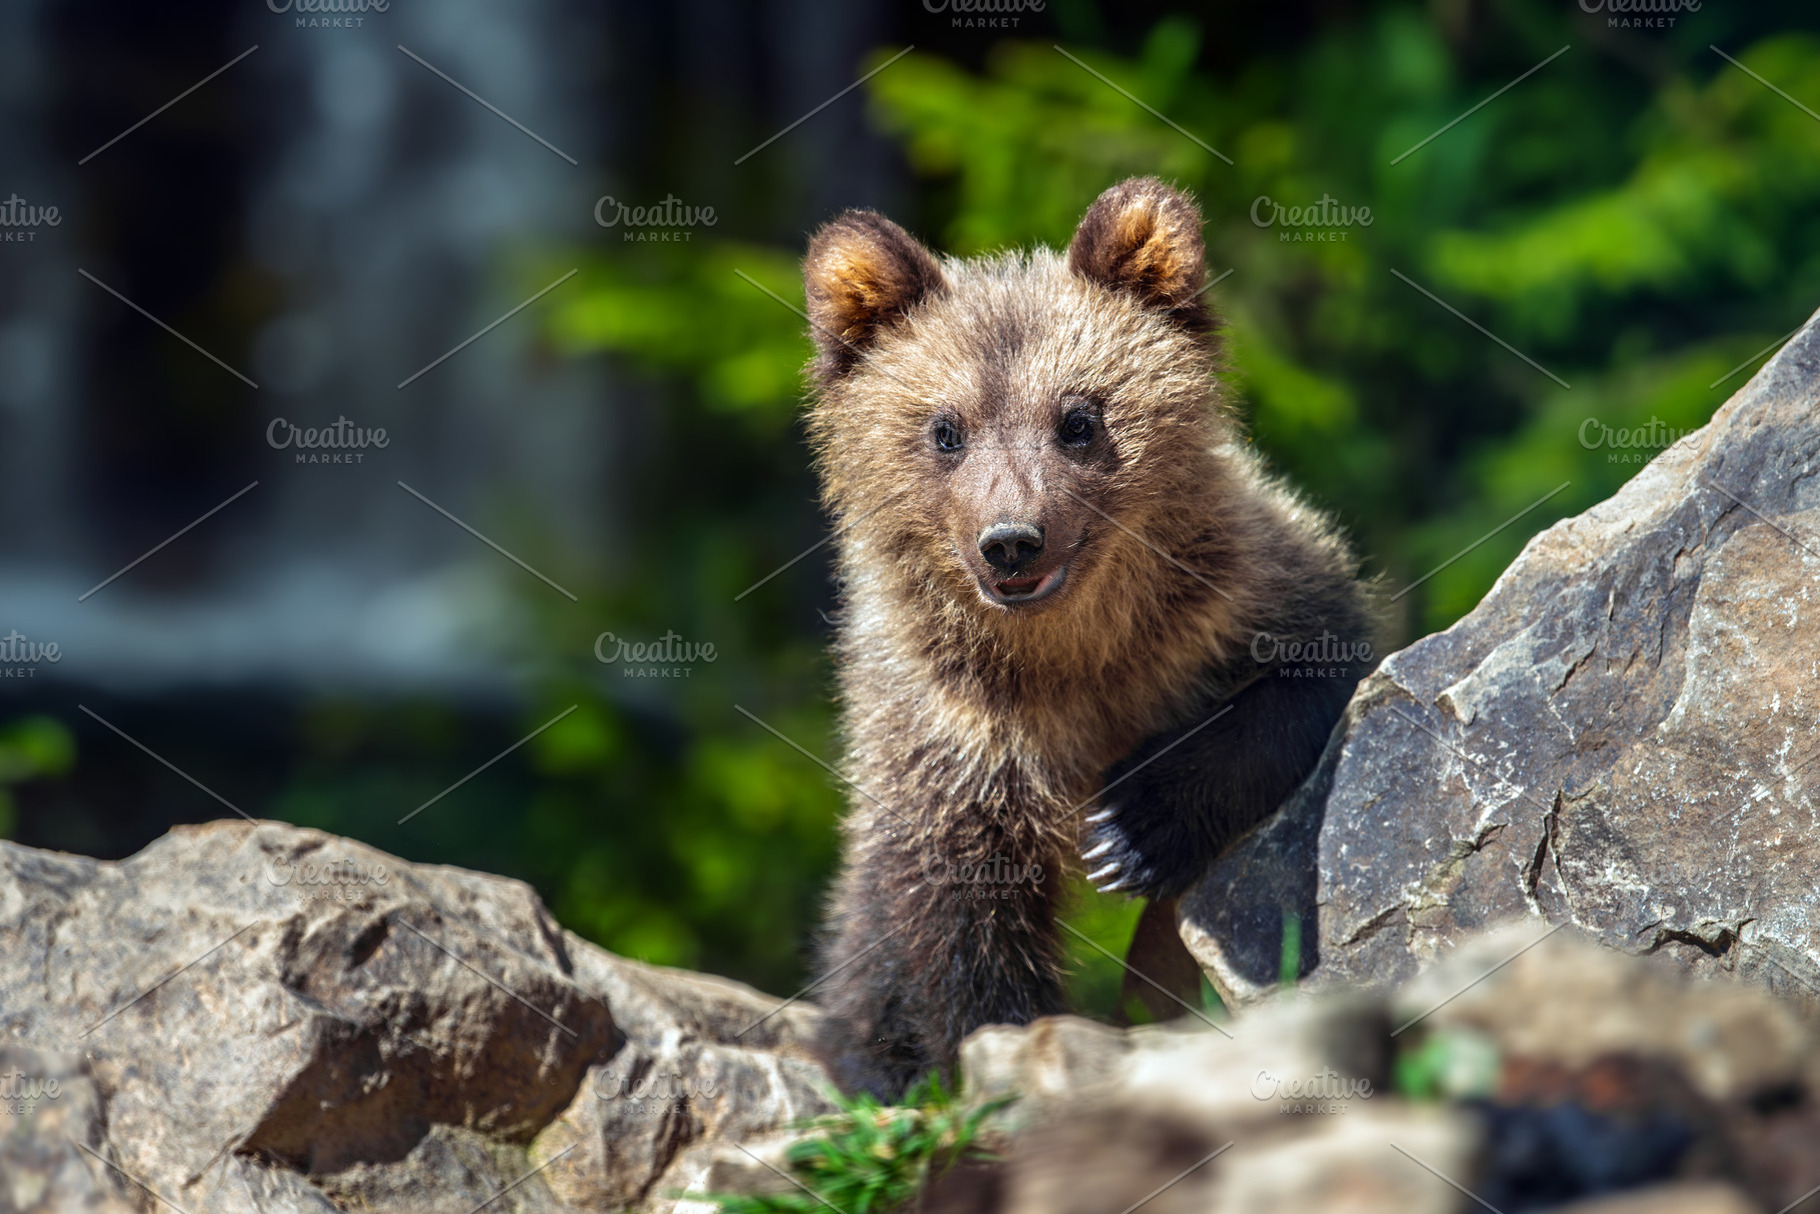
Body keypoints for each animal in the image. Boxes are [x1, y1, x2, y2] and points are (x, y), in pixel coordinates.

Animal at [798, 177, 1377, 1099]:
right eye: (945, 429)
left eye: (1077, 419)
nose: (1012, 541)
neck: (1072, 650)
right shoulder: (951, 726)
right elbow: (962, 915)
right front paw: (994, 1050)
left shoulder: (1237, 599)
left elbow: (1303, 687)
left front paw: (1127, 833)